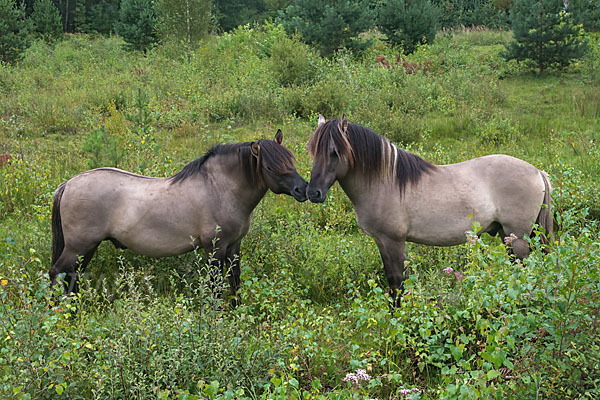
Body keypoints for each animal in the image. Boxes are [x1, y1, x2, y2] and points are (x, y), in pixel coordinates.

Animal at [49, 131, 308, 306]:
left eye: (291, 160)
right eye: (270, 167)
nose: (303, 190)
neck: (219, 188)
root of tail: (67, 184)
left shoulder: (234, 246)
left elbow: (234, 280)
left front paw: (236, 311)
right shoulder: (214, 248)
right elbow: (215, 285)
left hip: (86, 248)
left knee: (72, 275)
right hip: (78, 246)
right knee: (56, 272)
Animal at [310, 115, 552, 306]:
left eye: (334, 152)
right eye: (313, 152)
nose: (313, 192)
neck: (384, 183)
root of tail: (537, 171)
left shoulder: (394, 241)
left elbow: (398, 282)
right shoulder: (381, 241)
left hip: (517, 237)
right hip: (508, 235)